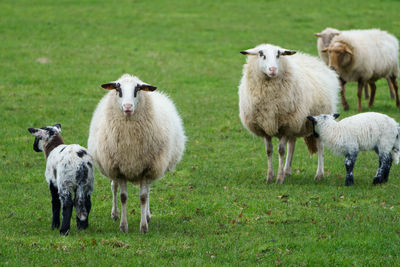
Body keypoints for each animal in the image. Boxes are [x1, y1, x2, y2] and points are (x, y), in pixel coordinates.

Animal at [87, 74, 186, 234]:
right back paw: (115, 214)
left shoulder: (147, 168)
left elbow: (144, 197)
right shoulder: (119, 168)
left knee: (148, 191)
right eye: (118, 89)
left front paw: (144, 226)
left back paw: (147, 215)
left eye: (137, 89)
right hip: (111, 166)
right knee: (113, 187)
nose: (128, 107)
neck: (130, 143)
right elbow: (123, 197)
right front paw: (123, 226)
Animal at [239, 44, 340, 186]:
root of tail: (314, 60)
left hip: (318, 120)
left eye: (278, 55)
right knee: (292, 145)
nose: (273, 69)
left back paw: (319, 174)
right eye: (261, 54)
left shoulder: (286, 126)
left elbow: (281, 150)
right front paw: (270, 177)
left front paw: (279, 179)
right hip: (295, 123)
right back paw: (287, 171)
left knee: (320, 147)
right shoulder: (266, 127)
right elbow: (269, 151)